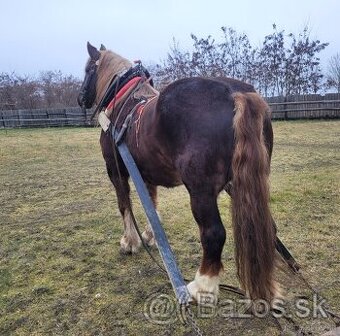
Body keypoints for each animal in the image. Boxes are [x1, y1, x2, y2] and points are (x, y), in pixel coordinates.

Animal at [78, 42, 280, 304]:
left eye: (87, 70)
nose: (80, 97)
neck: (123, 106)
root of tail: (234, 94)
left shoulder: (115, 170)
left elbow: (124, 206)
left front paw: (130, 242)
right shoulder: (146, 174)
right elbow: (151, 206)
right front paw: (150, 236)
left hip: (201, 192)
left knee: (214, 233)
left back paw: (203, 286)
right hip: (245, 185)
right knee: (263, 227)